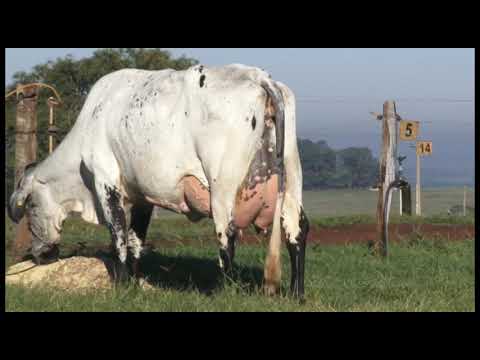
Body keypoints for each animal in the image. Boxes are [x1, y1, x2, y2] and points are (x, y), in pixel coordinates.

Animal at [8, 64, 312, 298]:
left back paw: (225, 291)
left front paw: (121, 285)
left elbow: (118, 235)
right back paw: (296, 293)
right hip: (291, 177)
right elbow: (135, 240)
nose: (39, 255)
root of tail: (260, 77)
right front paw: (136, 282)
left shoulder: (106, 181)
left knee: (228, 236)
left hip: (222, 187)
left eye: (30, 207)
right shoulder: (143, 195)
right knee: (296, 230)